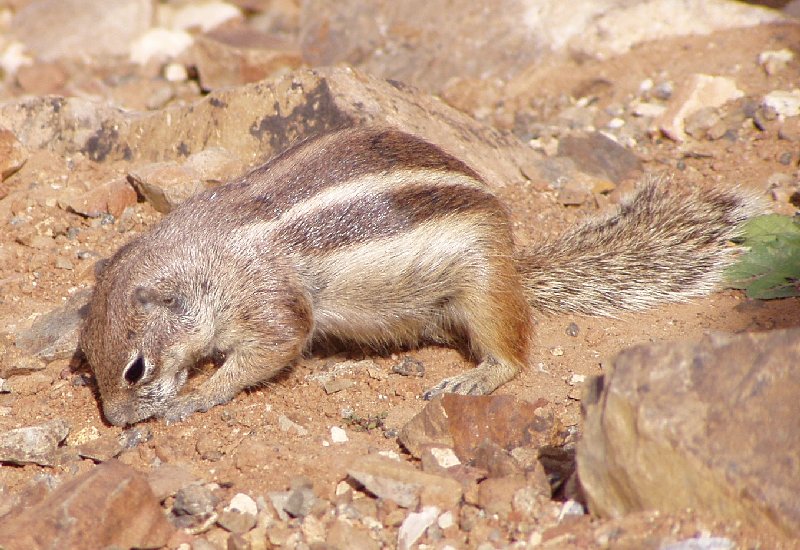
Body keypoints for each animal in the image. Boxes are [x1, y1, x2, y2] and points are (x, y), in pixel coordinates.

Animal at [78, 126, 760, 426]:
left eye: (134, 369)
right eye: (85, 362)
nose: (113, 420)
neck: (206, 260)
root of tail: (514, 260)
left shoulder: (268, 301)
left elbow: (268, 351)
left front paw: (195, 396)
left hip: (480, 283)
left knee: (511, 349)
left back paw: (477, 376)